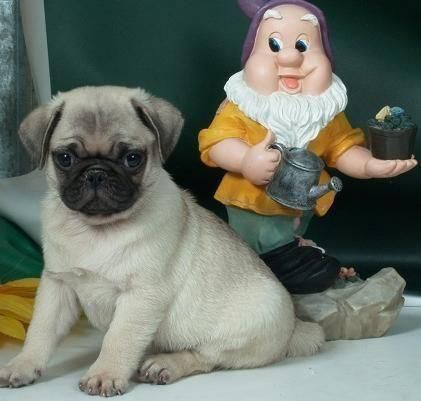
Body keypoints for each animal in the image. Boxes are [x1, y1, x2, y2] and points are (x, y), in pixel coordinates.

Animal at [0, 86, 324, 396]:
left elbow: (118, 338)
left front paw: (104, 373)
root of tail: (293, 328)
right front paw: (22, 365)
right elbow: (40, 332)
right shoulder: (58, 286)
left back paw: (164, 364)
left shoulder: (141, 296)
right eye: (65, 159)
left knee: (205, 357)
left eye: (132, 158)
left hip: (243, 330)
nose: (96, 173)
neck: (98, 230)